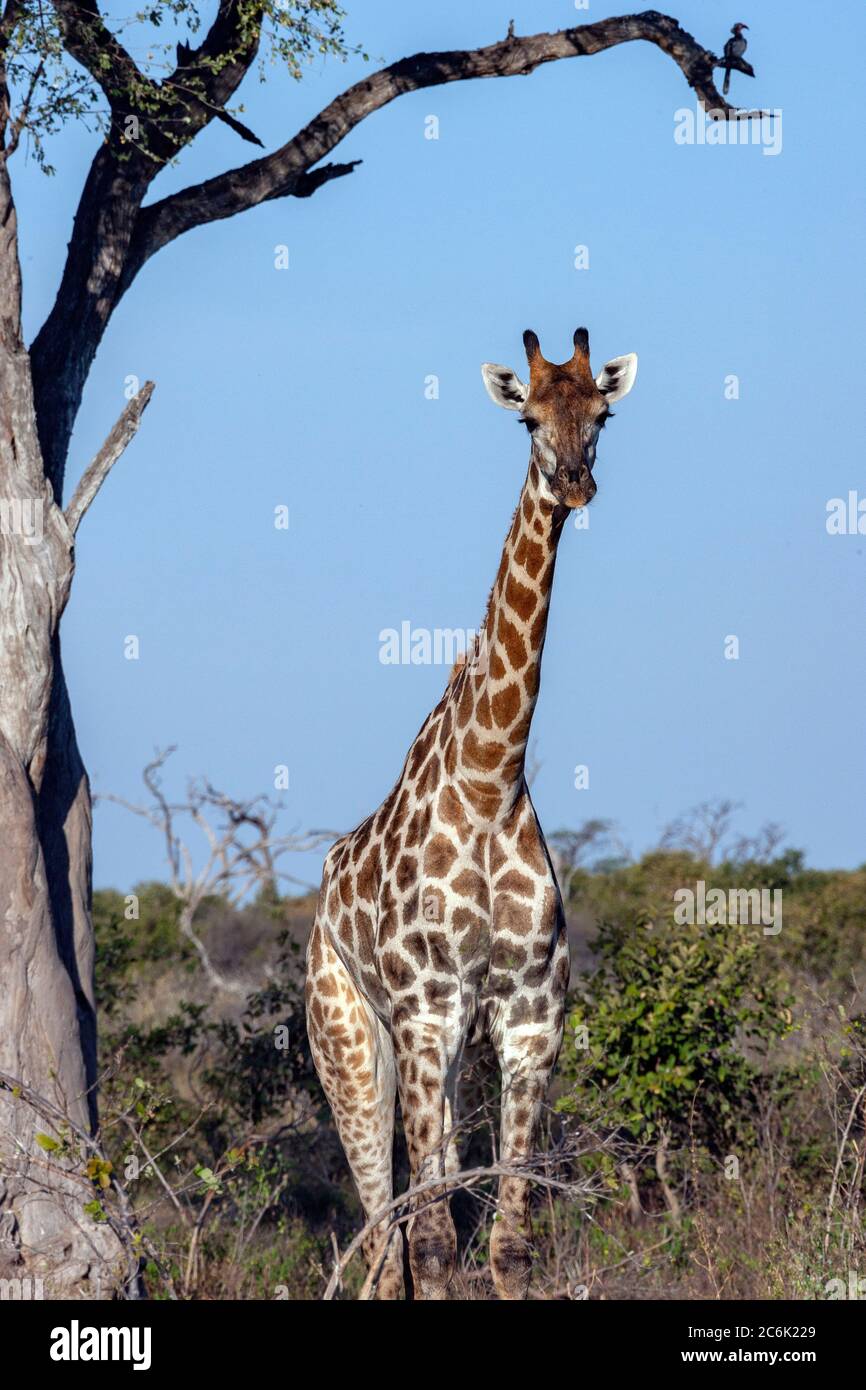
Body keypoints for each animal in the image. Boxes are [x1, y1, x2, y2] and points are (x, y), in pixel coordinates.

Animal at [304, 328, 636, 1301]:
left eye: (602, 414)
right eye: (527, 418)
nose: (574, 483)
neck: (493, 781)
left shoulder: (529, 1016)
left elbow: (508, 1243)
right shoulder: (427, 1012)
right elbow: (435, 1244)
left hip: (439, 1063)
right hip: (353, 1045)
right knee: (386, 1240)